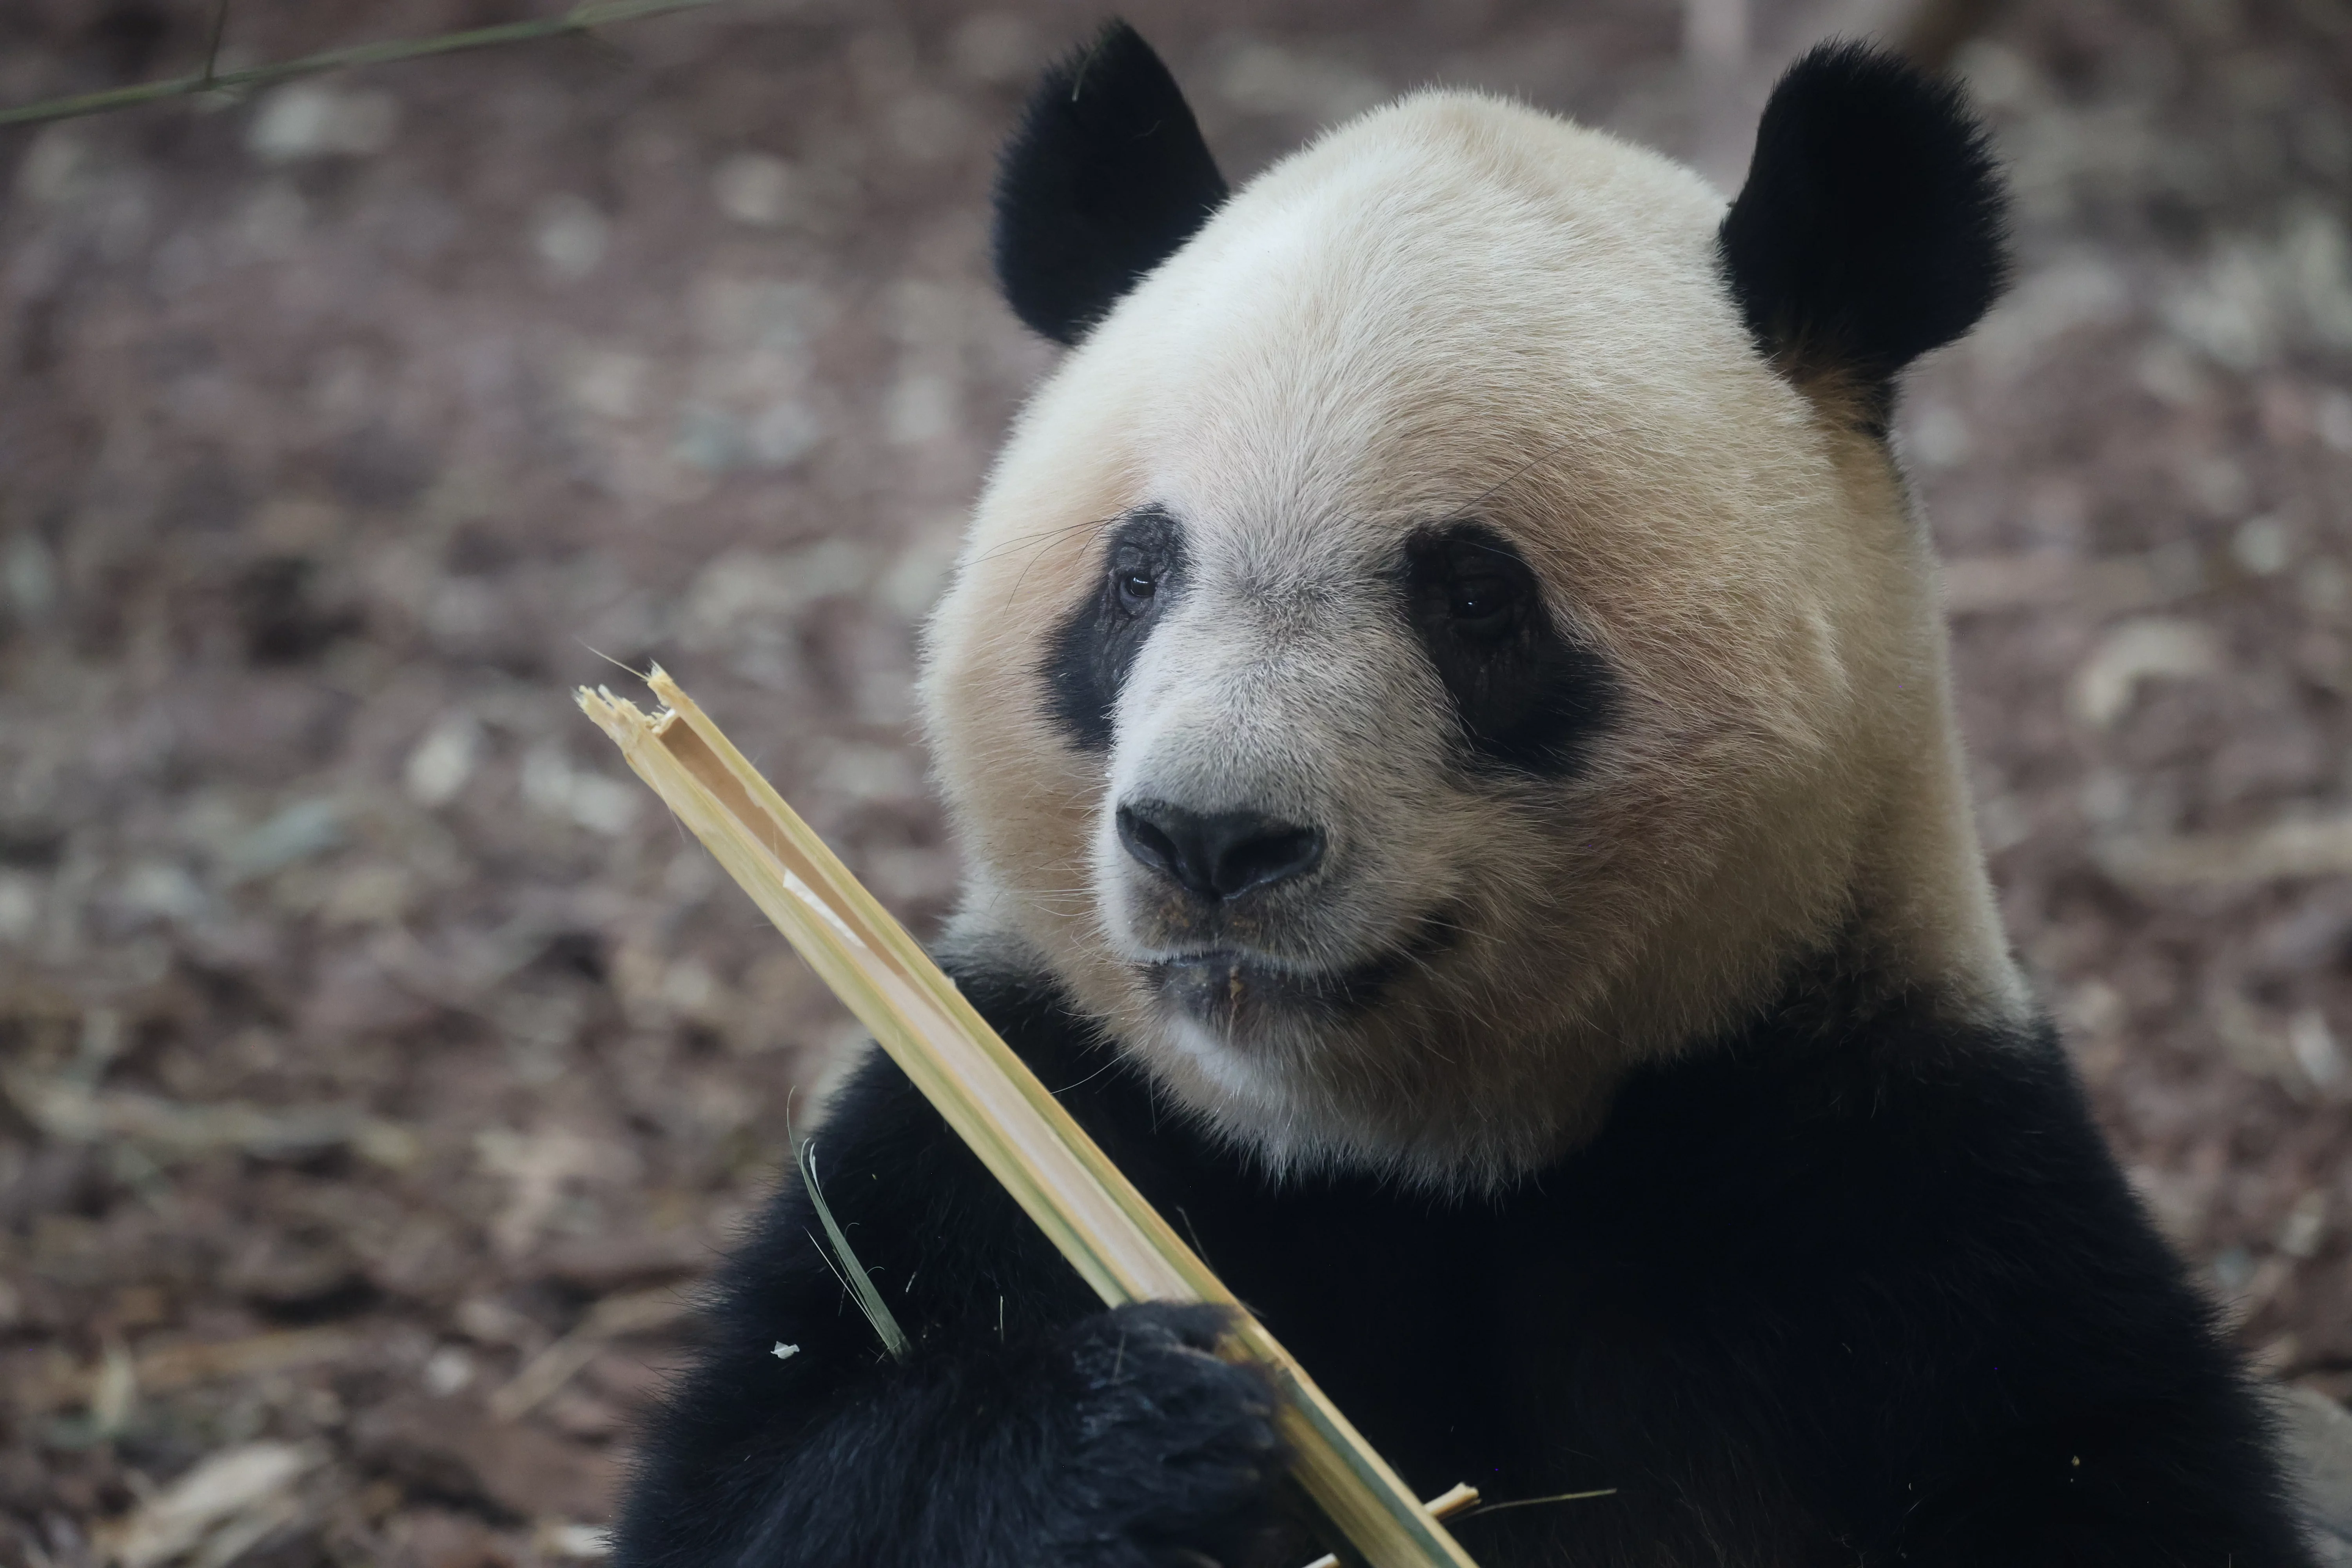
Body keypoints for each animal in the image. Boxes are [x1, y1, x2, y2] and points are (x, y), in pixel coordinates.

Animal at [614, 23, 2318, 1568]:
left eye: (1477, 599)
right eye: (1138, 576)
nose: (1211, 840)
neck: (1422, 1155)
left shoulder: (1906, 1183)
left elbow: (2108, 1475)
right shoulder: (1000, 1123)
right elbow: (756, 1482)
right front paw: (1136, 1434)